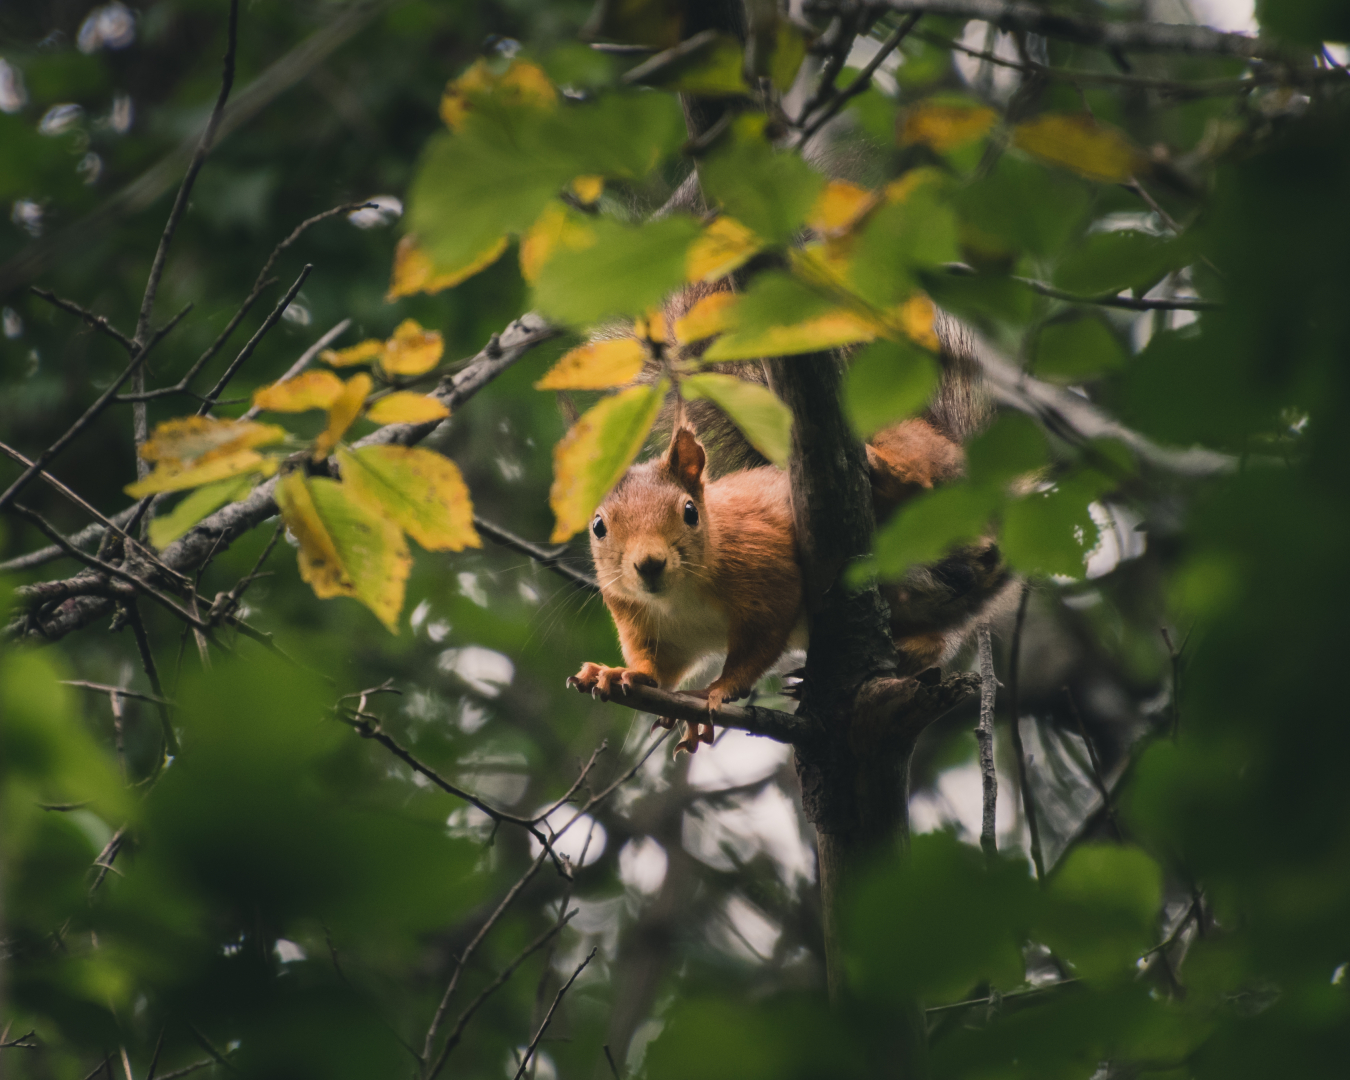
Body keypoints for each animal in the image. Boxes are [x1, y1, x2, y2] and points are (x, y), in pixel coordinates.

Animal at [567, 287, 1013, 753]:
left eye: (689, 512)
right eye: (598, 526)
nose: (649, 564)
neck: (679, 595)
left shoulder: (767, 575)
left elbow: (758, 648)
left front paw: (715, 691)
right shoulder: (649, 627)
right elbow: (658, 668)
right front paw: (622, 674)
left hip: (917, 458)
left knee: (917, 476)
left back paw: (883, 469)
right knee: (939, 633)